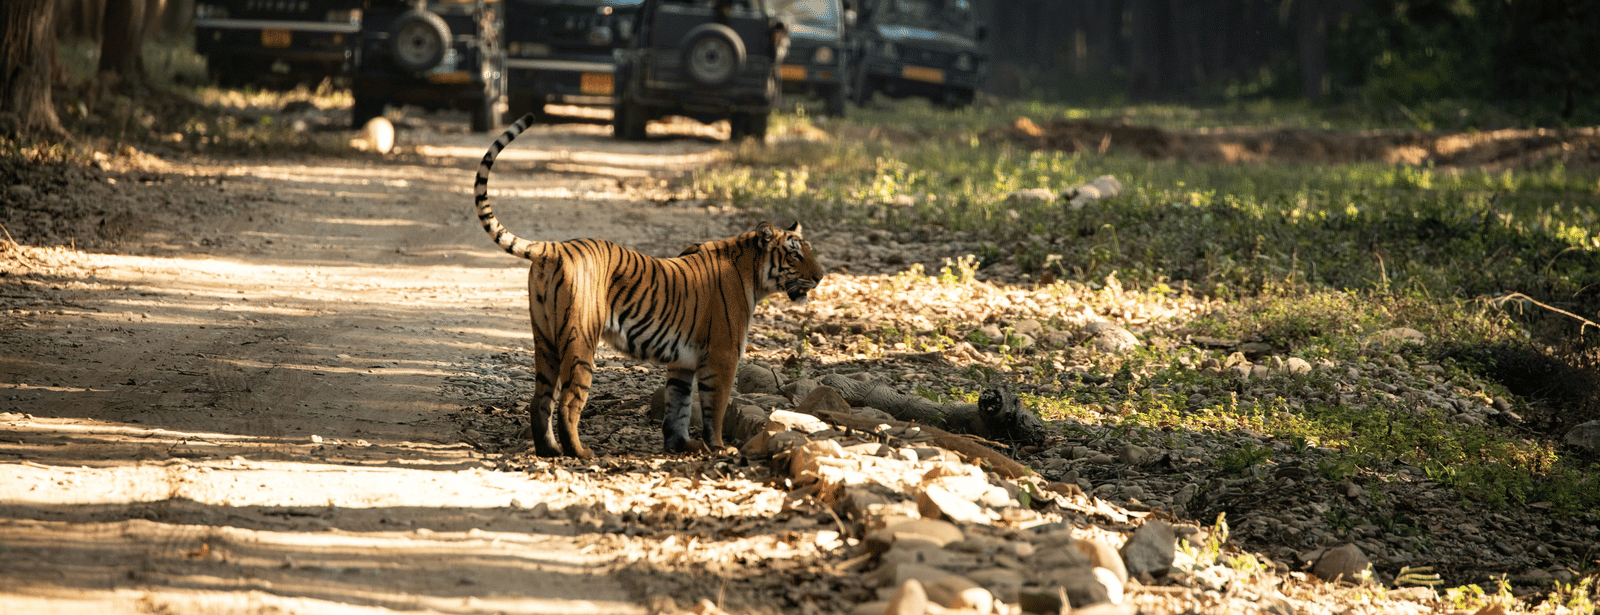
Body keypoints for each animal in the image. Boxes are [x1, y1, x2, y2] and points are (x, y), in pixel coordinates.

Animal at [473, 113, 824, 459]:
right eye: (796, 254)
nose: (821, 276)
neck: (752, 272)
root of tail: (555, 247)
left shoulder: (683, 363)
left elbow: (678, 406)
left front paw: (680, 445)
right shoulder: (723, 356)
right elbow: (716, 407)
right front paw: (719, 448)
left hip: (544, 338)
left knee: (540, 400)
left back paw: (549, 450)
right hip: (580, 338)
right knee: (569, 402)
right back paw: (580, 453)